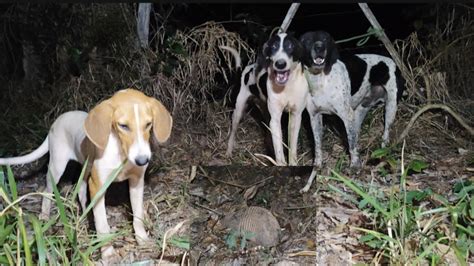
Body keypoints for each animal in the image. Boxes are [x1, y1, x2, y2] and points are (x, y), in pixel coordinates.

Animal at [0, 88, 173, 260]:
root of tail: (56, 121)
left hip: (85, 170)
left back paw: (85, 215)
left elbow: (137, 215)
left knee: (81, 193)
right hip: (57, 167)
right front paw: (108, 252)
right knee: (47, 189)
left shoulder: (136, 182)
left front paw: (142, 239)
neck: (120, 152)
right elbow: (102, 224)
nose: (142, 160)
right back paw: (44, 216)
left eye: (148, 124)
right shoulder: (97, 186)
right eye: (123, 126)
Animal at [222, 32, 308, 166]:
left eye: (290, 46)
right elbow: (279, 151)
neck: (287, 87)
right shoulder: (276, 119)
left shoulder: (296, 116)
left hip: (265, 109)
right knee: (233, 131)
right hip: (238, 110)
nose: (280, 64)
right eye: (273, 47)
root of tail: (245, 69)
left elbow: (292, 148)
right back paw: (229, 151)